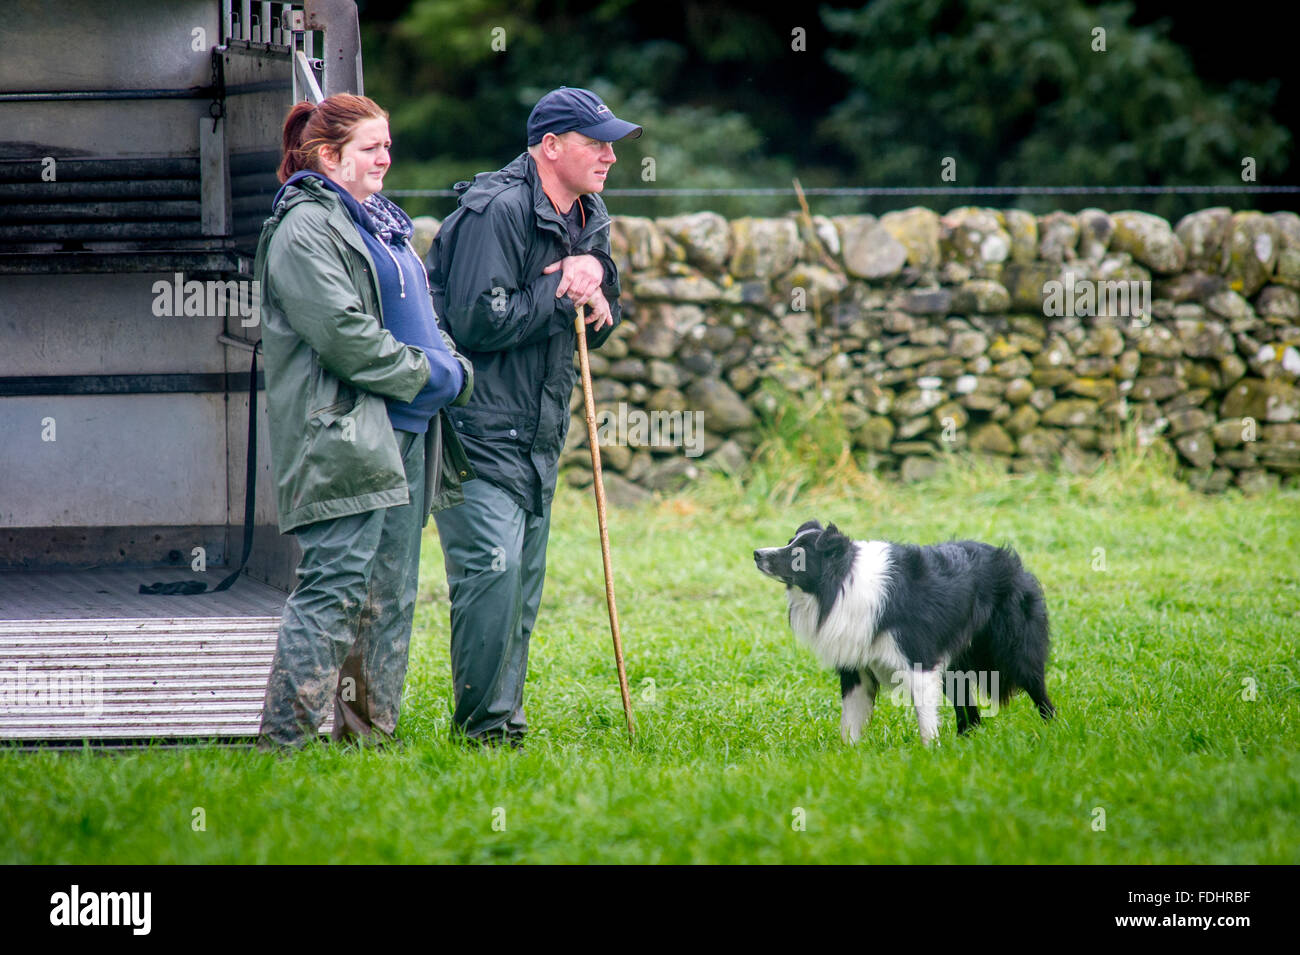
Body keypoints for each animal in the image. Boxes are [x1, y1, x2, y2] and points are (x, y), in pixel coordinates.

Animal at [759, 522, 1050, 748]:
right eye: (789, 543)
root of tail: (1012, 560)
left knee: (1036, 687)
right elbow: (850, 719)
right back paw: (966, 741)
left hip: (1013, 647)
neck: (841, 584)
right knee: (970, 710)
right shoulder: (857, 668)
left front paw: (931, 752)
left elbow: (925, 717)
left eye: (798, 553)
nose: (756, 553)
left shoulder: (919, 659)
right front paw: (847, 755)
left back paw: (1052, 730)